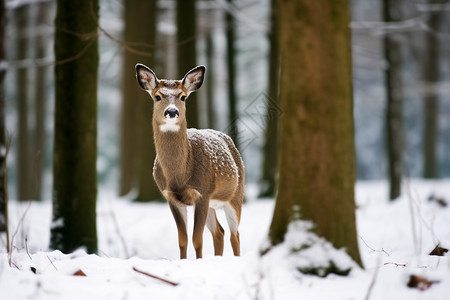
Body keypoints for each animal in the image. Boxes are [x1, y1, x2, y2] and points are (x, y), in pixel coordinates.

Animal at [135, 63, 244, 260]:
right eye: (157, 96)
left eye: (183, 97)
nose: (171, 111)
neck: (179, 176)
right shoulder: (171, 197)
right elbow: (182, 240)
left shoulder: (203, 193)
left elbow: (197, 239)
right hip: (213, 204)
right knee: (220, 232)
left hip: (235, 196)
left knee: (235, 234)